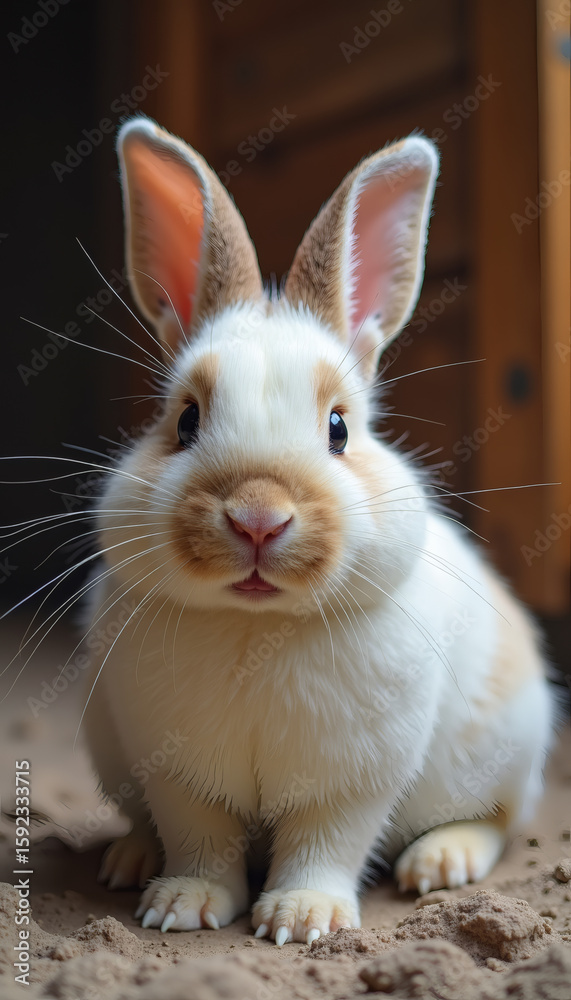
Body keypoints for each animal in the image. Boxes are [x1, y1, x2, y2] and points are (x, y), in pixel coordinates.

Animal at [82, 114, 555, 946]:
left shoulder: (352, 781)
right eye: (185, 421)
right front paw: (180, 907)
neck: (254, 626)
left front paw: (301, 919)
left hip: (501, 752)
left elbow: (323, 843)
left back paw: (440, 863)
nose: (257, 516)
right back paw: (129, 859)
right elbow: (201, 839)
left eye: (339, 428)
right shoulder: (170, 771)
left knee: (498, 819)